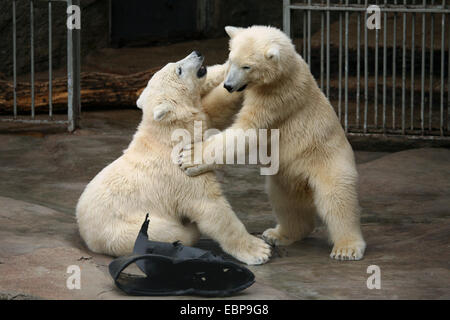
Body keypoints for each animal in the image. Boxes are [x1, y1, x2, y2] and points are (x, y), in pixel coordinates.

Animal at [75, 50, 270, 264]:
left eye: (173, 63)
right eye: (179, 69)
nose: (197, 53)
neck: (166, 134)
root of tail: (87, 235)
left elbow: (214, 109)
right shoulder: (179, 172)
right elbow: (211, 207)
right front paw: (258, 250)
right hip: (130, 229)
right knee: (173, 234)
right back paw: (189, 229)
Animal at [179, 25, 366, 260]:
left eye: (247, 66)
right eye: (231, 59)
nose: (229, 85)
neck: (286, 72)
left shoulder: (277, 99)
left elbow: (246, 132)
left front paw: (188, 158)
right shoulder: (247, 90)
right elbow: (217, 105)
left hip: (329, 161)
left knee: (337, 199)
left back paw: (346, 248)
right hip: (285, 173)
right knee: (285, 201)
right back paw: (279, 234)